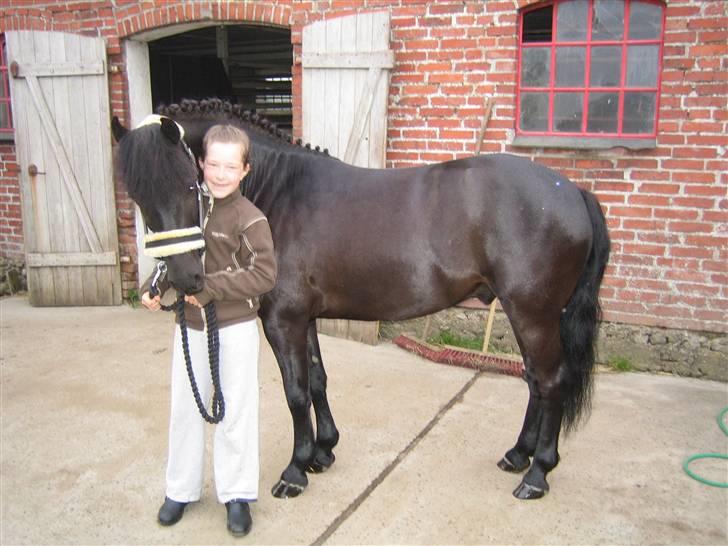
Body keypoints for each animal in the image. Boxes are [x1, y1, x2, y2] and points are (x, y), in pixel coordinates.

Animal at [112, 96, 608, 498]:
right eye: (136, 193)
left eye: (187, 183)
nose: (185, 277)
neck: (280, 194)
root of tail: (574, 191)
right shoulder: (304, 318)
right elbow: (316, 379)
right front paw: (323, 452)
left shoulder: (282, 321)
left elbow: (295, 391)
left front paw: (295, 471)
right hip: (528, 314)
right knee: (534, 380)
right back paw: (519, 455)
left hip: (533, 314)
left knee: (551, 381)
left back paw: (537, 474)